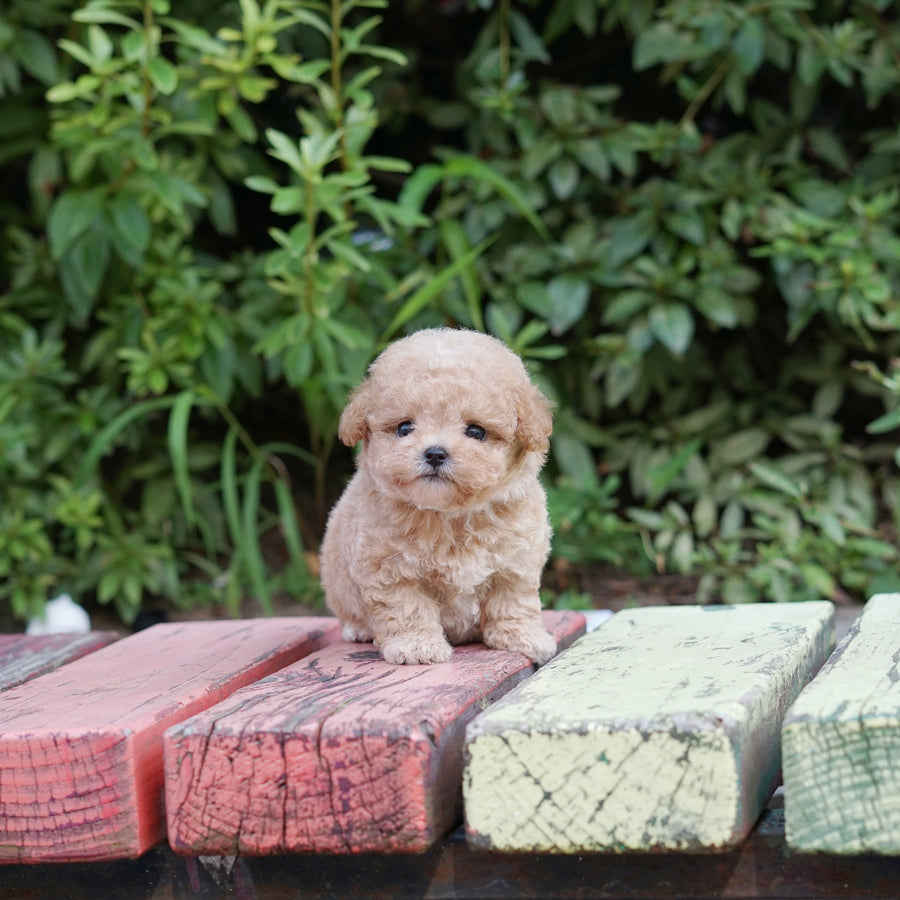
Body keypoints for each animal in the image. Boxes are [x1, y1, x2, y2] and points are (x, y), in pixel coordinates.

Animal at [316, 326, 556, 664]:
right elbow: (407, 607)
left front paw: (523, 637)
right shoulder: (390, 569)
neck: (450, 515)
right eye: (404, 428)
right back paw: (358, 629)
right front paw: (416, 646)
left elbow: (514, 601)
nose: (435, 453)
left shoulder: (517, 562)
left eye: (476, 431)